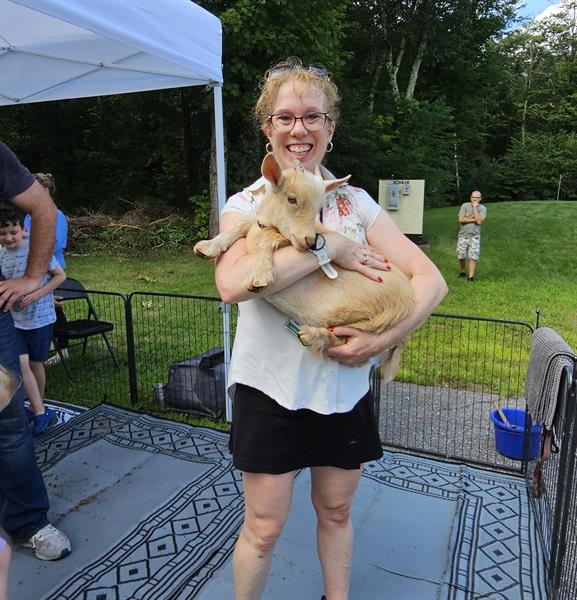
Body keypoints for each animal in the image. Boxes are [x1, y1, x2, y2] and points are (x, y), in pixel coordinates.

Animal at [194, 152, 414, 382]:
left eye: (318, 207)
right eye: (292, 199)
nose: (311, 241)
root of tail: (410, 303)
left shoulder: (287, 239)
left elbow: (265, 236)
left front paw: (260, 277)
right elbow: (244, 223)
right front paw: (207, 247)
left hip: (375, 323)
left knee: (352, 345)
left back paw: (312, 335)